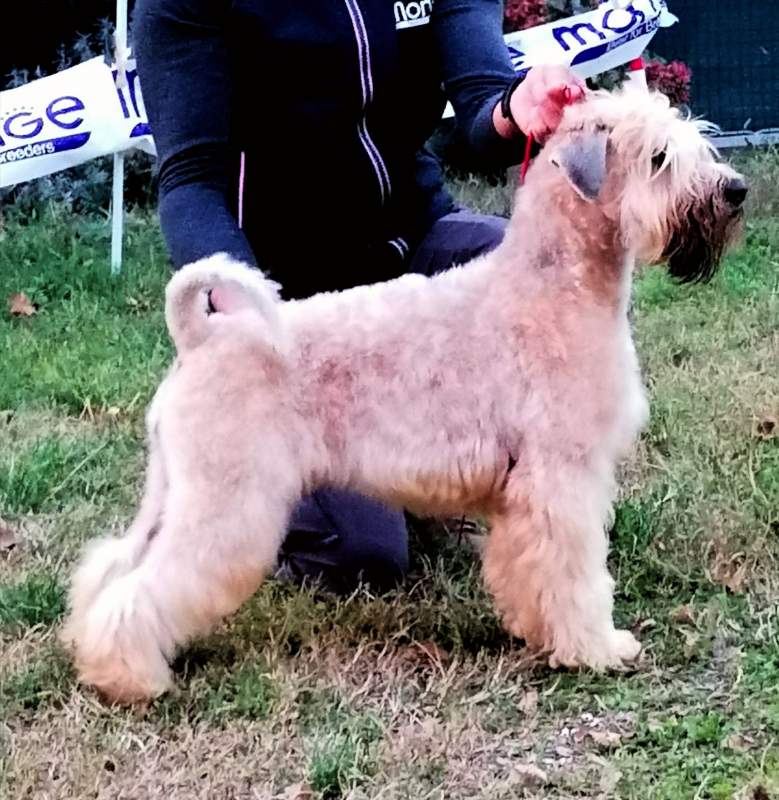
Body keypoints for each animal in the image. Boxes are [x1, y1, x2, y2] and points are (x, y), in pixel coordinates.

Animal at [61, 84, 744, 704]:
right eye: (658, 156)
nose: (733, 191)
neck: (554, 285)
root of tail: (202, 337)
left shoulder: (524, 492)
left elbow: (527, 567)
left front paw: (535, 630)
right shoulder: (564, 475)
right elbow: (576, 571)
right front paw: (596, 647)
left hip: (177, 493)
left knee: (114, 564)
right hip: (228, 505)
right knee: (147, 587)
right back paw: (131, 678)